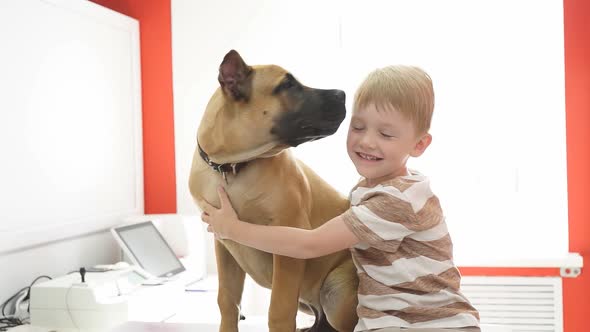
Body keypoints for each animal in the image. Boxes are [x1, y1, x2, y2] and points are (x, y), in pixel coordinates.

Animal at [190, 50, 360, 332]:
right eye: (288, 85)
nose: (342, 94)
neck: (232, 166)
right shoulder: (223, 246)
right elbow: (227, 300)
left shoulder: (290, 241)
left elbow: (279, 310)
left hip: (336, 292)